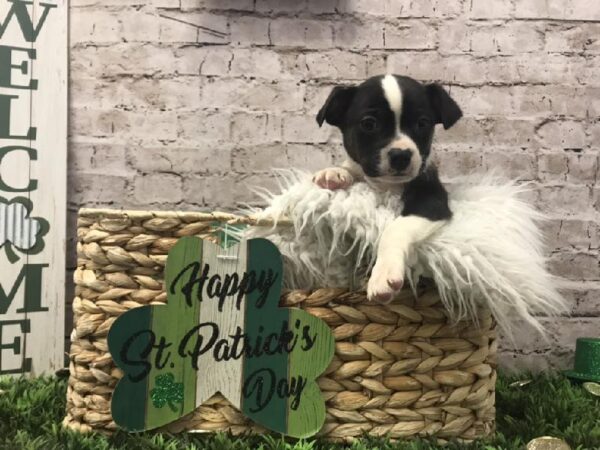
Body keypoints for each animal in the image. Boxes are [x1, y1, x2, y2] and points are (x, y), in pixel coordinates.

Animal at [314, 74, 464, 302]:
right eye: (369, 123)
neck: (386, 185)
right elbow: (352, 167)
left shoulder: (431, 202)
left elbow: (394, 229)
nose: (401, 155)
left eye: (422, 123)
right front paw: (335, 172)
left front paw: (384, 273)